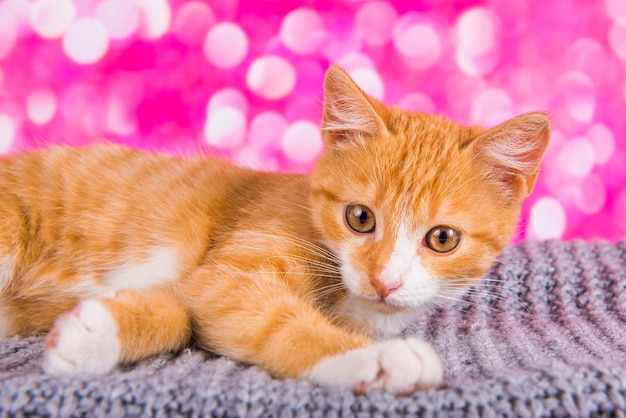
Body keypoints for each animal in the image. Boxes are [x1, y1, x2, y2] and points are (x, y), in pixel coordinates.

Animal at [0, 66, 544, 396]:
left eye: (443, 239)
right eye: (360, 218)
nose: (384, 281)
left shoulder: (196, 285)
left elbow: (180, 314)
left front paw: (90, 333)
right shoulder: (231, 272)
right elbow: (275, 320)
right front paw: (379, 359)